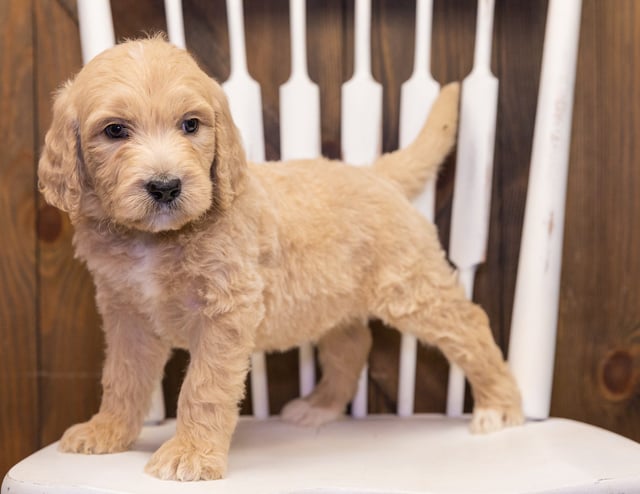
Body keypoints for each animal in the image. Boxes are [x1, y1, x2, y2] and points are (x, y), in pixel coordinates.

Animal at [37, 35, 524, 482]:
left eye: (190, 125)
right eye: (115, 131)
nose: (165, 186)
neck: (155, 239)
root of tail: (375, 173)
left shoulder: (226, 311)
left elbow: (203, 386)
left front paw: (189, 454)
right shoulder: (127, 314)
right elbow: (121, 378)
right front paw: (108, 431)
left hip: (412, 288)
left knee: (469, 325)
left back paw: (499, 406)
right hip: (333, 302)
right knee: (352, 346)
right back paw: (320, 407)